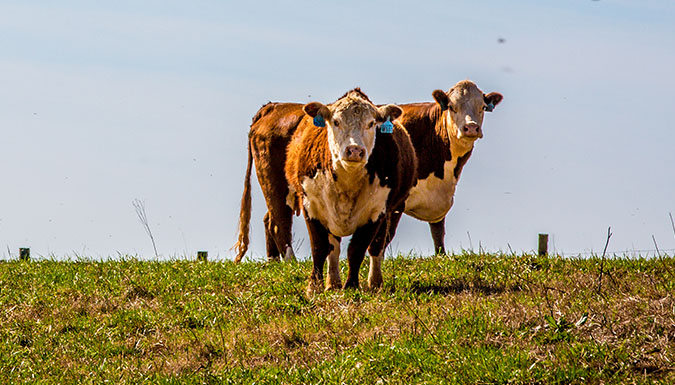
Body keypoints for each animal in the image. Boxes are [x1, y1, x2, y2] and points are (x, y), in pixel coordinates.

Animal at [282, 89, 414, 294]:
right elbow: (319, 247)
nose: (354, 150)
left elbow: (357, 249)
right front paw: (314, 286)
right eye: (336, 121)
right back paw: (333, 283)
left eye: (371, 123)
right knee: (333, 248)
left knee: (377, 247)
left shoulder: (376, 211)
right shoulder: (310, 206)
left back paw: (375, 282)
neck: (347, 181)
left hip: (393, 210)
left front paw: (352, 285)